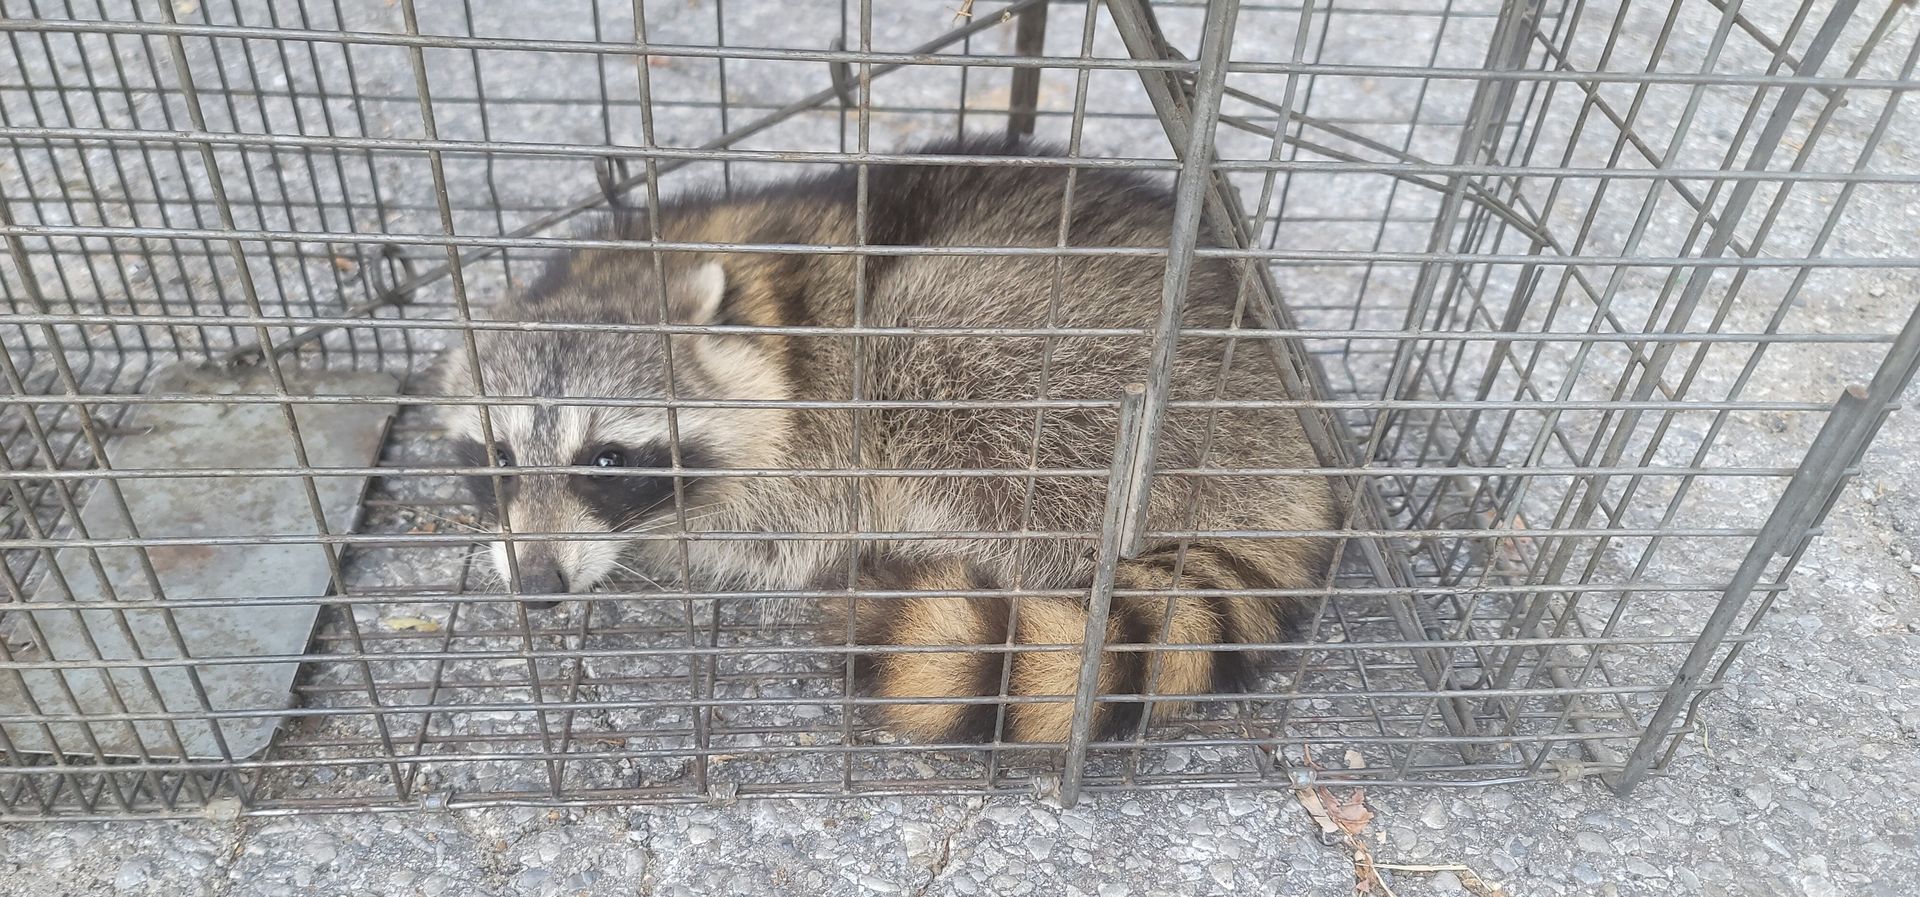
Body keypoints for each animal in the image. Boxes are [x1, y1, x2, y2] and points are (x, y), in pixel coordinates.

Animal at [434, 135, 1337, 744]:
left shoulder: (820, 431)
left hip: (1047, 359)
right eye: (499, 460)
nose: (538, 586)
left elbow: (779, 530)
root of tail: (1292, 464)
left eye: (606, 459)